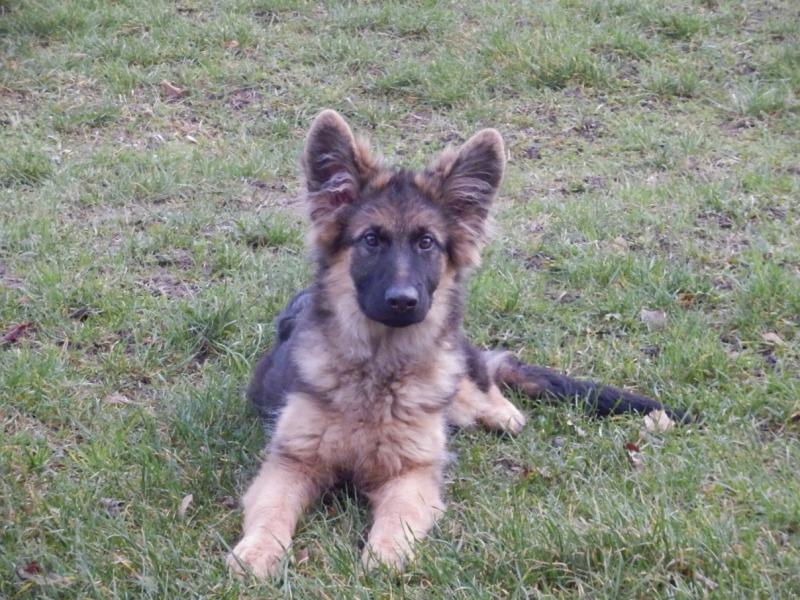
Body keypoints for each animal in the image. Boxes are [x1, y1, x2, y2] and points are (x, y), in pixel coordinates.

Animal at [227, 110, 684, 578]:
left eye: (426, 242)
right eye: (371, 239)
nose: (403, 301)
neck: (377, 372)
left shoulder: (413, 471)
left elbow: (400, 515)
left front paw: (385, 555)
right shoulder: (290, 462)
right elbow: (273, 510)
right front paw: (258, 551)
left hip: (462, 392)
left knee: (488, 386)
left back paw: (503, 411)